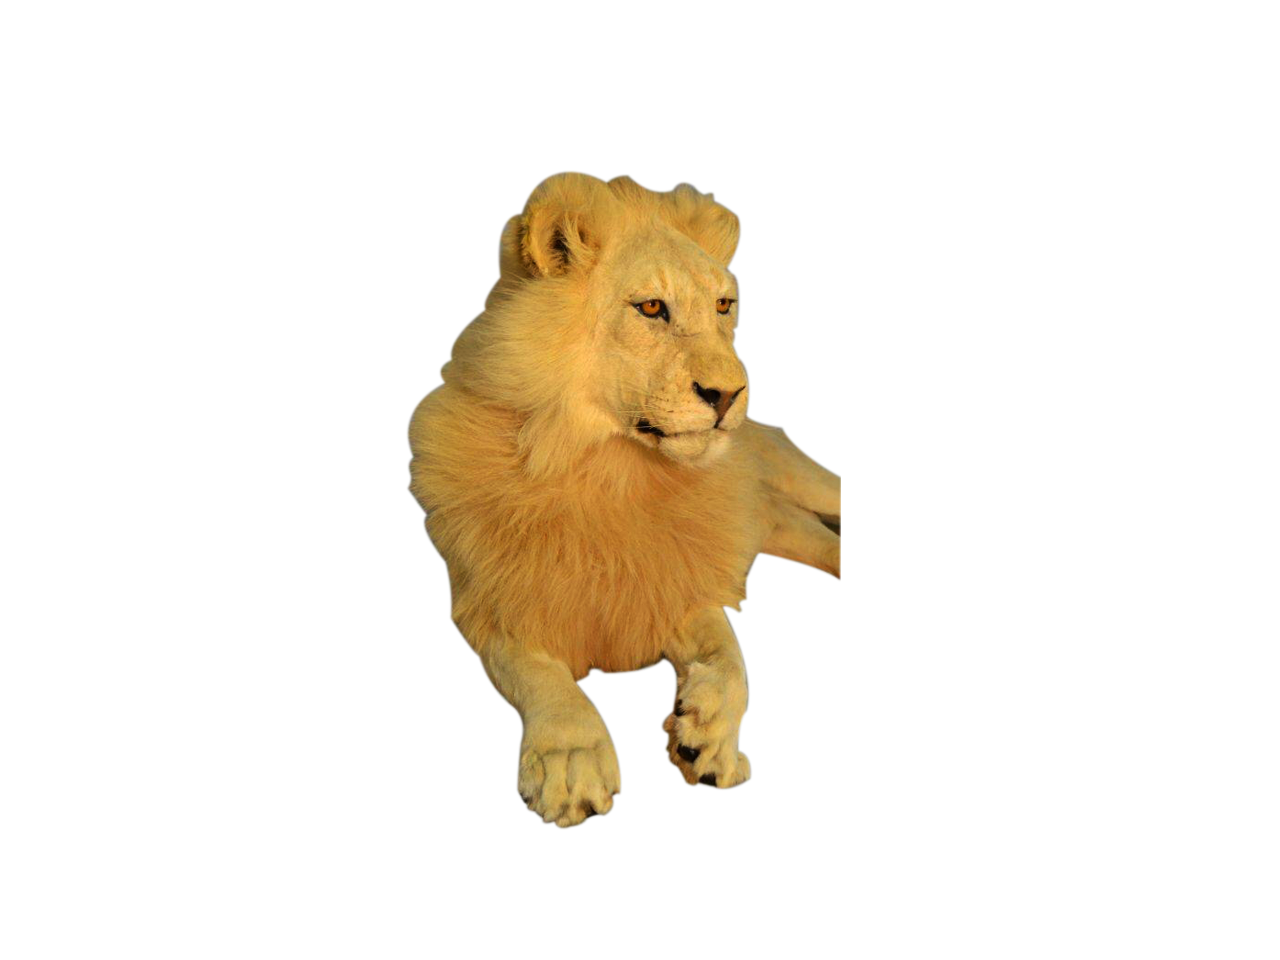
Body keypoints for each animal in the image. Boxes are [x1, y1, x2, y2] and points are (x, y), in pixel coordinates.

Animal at [405, 171, 840, 828]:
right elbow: (542, 676)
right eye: (652, 308)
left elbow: (731, 657)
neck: (611, 469)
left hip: (799, 482)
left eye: (723, 305)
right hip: (780, 524)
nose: (730, 394)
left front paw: (709, 741)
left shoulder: (674, 574)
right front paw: (572, 761)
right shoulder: (492, 595)